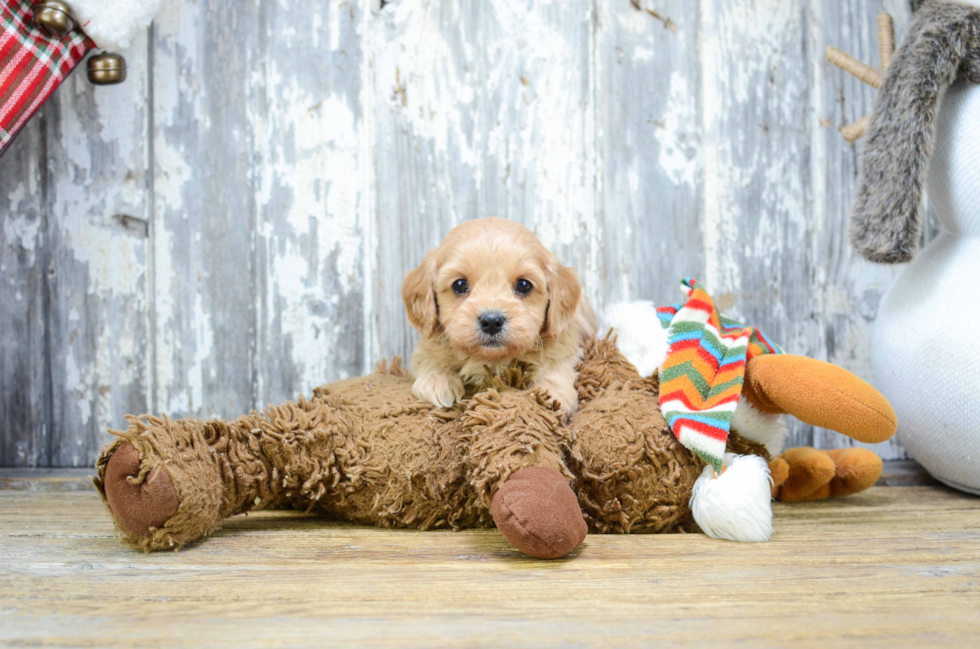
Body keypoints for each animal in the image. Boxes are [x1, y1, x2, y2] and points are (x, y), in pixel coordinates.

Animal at [400, 218, 596, 420]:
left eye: (524, 285)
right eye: (459, 284)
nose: (492, 321)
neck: (492, 359)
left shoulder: (565, 341)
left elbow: (554, 363)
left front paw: (552, 394)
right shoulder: (427, 344)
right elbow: (429, 357)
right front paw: (437, 381)